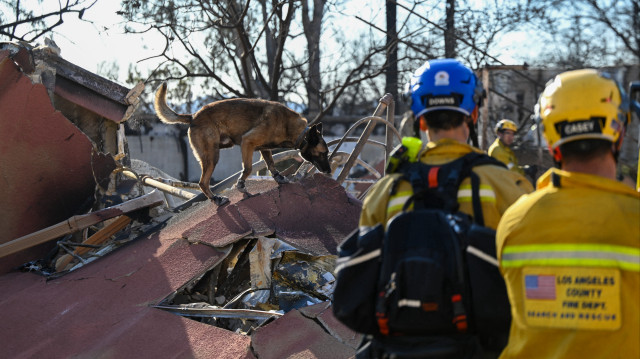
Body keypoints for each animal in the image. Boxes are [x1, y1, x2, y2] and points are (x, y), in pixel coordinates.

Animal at [154, 82, 330, 205]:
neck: (297, 132)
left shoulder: (264, 149)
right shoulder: (247, 143)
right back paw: (217, 199)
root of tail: (193, 116)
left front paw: (279, 178)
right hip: (212, 156)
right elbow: (248, 168)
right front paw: (241, 184)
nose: (328, 171)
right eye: (323, 153)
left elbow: (271, 164)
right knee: (202, 183)